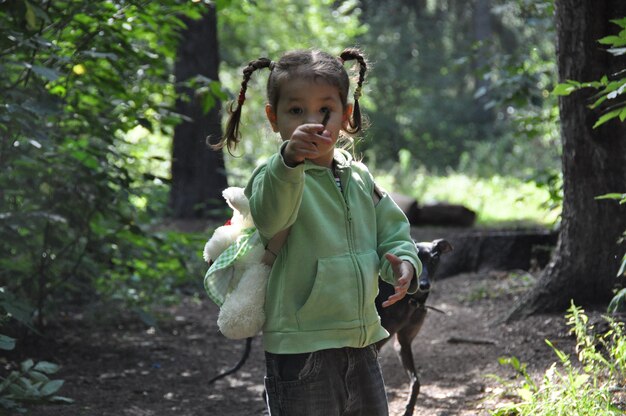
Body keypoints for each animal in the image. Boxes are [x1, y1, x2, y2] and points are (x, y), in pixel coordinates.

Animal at [372, 239, 450, 414]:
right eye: (417, 257)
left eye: (435, 259)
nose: (424, 285)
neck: (410, 301)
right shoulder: (375, 345)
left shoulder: (403, 342)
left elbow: (416, 382)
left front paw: (409, 409)